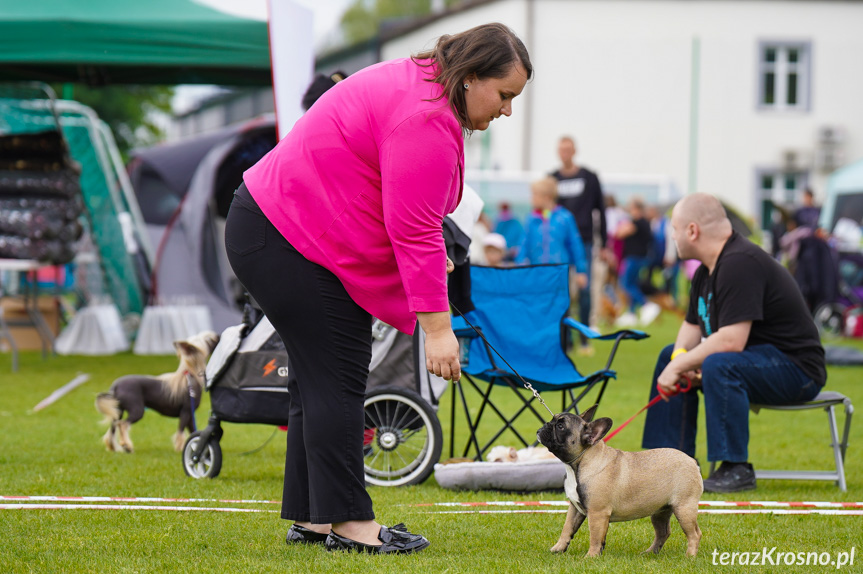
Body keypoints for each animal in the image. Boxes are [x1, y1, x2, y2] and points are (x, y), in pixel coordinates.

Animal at [536, 408, 704, 560]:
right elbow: (567, 528)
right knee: (663, 532)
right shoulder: (575, 508)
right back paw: (650, 553)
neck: (582, 461)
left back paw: (690, 556)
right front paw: (558, 548)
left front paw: (591, 557)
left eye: (560, 426)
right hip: (660, 511)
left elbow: (594, 536)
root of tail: (692, 462)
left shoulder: (597, 513)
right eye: (553, 419)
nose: (546, 425)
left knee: (694, 534)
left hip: (684, 508)